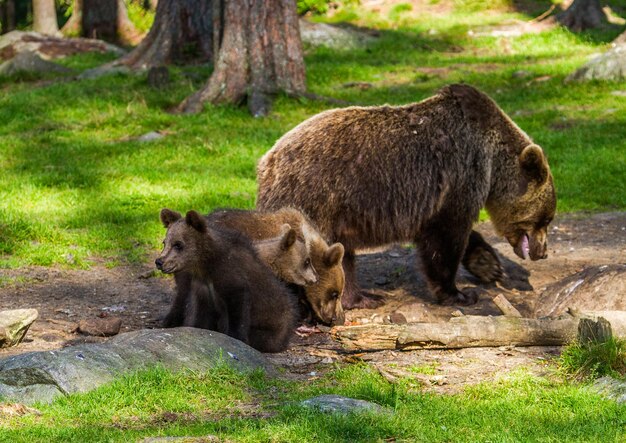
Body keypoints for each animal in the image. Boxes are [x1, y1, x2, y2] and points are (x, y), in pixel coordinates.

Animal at [256, 85, 552, 310]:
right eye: (546, 219)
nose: (543, 251)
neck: (492, 165)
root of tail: (266, 162)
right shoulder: (459, 177)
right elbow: (445, 238)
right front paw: (459, 293)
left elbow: (457, 234)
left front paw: (488, 265)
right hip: (315, 198)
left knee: (342, 258)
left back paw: (362, 298)